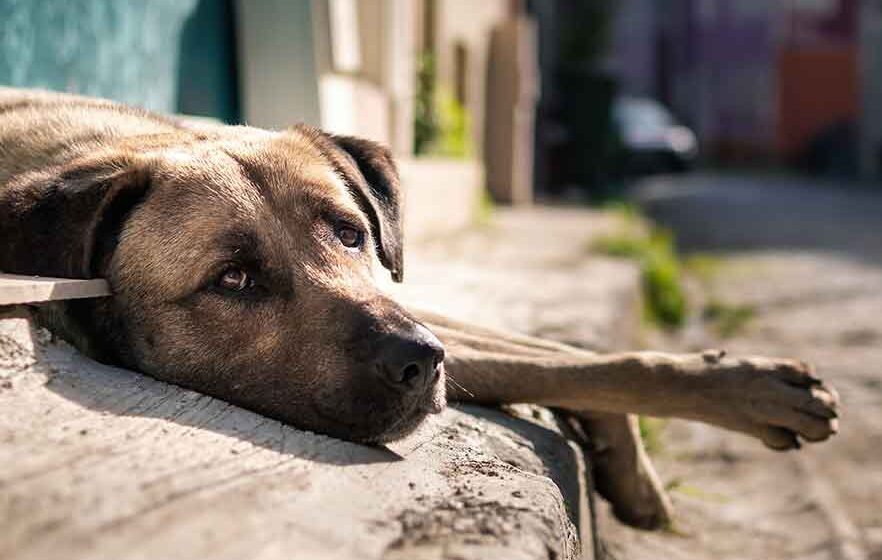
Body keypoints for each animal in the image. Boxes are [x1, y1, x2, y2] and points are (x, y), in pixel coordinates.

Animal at [1, 87, 840, 528]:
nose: (420, 360)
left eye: (351, 232)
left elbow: (570, 357)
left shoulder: (409, 301)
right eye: (233, 279)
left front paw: (712, 402)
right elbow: (565, 363)